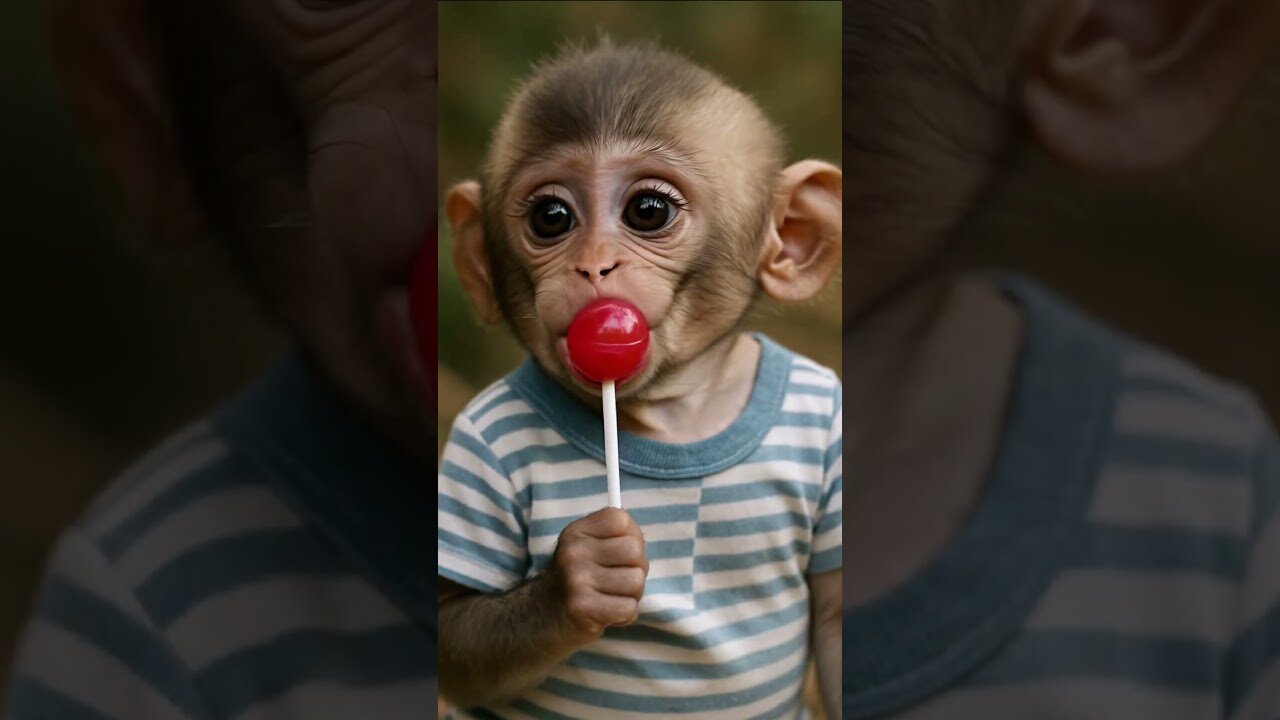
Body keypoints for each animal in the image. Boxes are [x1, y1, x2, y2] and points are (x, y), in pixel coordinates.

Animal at [437, 39, 842, 719]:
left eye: (647, 211)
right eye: (552, 217)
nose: (594, 264)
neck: (673, 413)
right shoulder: (473, 447)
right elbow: (455, 625)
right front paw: (584, 573)